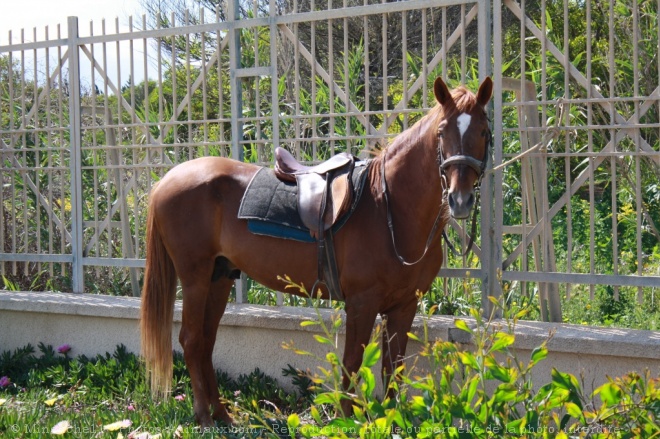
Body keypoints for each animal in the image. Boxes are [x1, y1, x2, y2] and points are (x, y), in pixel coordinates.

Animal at [141, 77, 490, 428]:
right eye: (442, 132)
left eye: (484, 131)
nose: (460, 200)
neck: (387, 207)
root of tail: (166, 180)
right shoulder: (362, 302)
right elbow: (352, 362)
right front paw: (346, 420)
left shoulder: (404, 306)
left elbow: (393, 369)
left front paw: (391, 420)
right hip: (195, 277)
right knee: (191, 339)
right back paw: (205, 417)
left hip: (220, 277)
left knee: (206, 340)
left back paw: (223, 414)